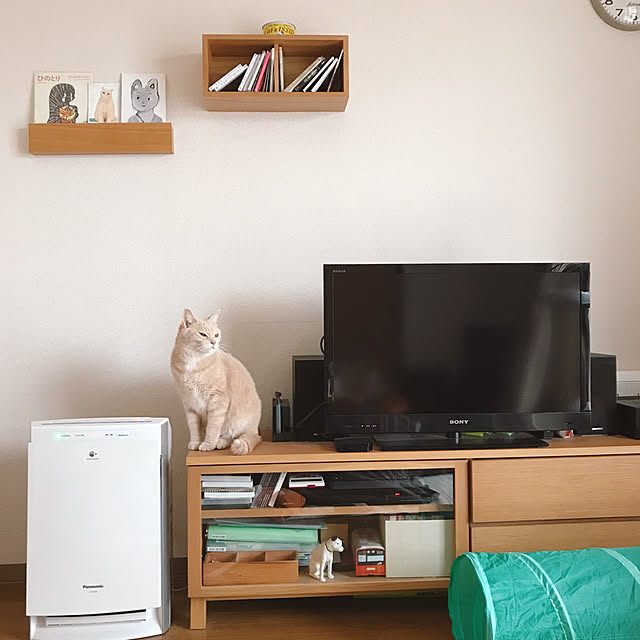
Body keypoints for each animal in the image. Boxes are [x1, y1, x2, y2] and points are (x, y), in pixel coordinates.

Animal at [170, 308, 262, 455]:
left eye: (216, 334)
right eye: (202, 334)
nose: (214, 343)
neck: (193, 361)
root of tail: (255, 431)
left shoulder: (218, 401)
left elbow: (212, 428)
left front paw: (208, 443)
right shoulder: (189, 404)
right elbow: (193, 428)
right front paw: (195, 442)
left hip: (236, 421)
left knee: (233, 437)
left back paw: (220, 442)